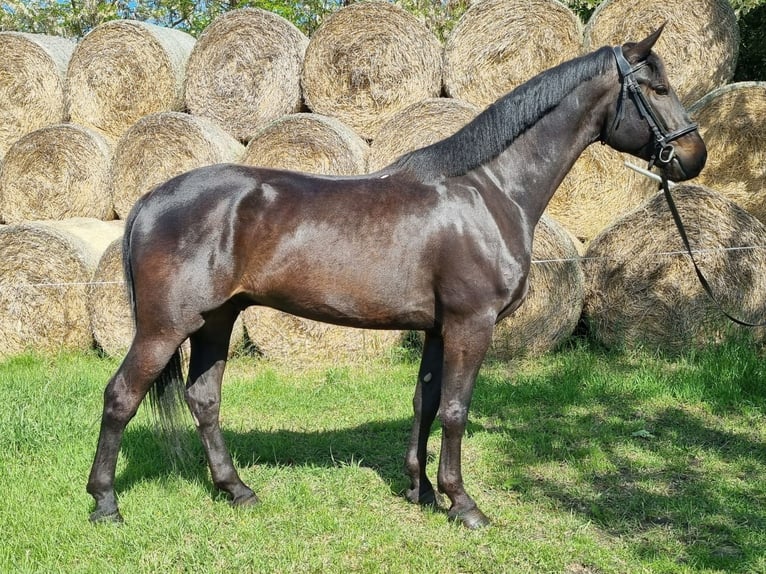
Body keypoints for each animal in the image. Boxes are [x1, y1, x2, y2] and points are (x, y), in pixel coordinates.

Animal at [88, 28, 708, 532]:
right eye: (656, 87)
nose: (693, 155)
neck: (489, 191)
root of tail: (151, 198)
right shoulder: (471, 325)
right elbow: (456, 409)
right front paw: (463, 504)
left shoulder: (438, 329)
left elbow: (425, 402)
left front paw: (421, 489)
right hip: (165, 326)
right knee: (121, 396)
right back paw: (105, 503)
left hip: (216, 320)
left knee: (204, 398)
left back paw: (237, 490)